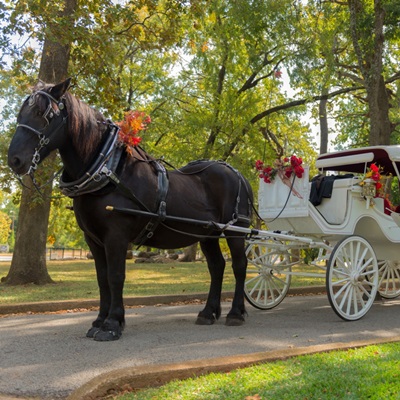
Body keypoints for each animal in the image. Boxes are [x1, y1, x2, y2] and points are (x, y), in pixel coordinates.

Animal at [7, 78, 253, 341]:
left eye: (43, 114)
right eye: (20, 113)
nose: (14, 160)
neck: (109, 171)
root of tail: (237, 173)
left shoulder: (116, 236)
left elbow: (116, 276)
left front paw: (112, 323)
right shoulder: (93, 239)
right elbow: (102, 278)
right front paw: (100, 320)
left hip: (235, 230)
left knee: (239, 266)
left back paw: (236, 313)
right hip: (207, 234)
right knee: (217, 267)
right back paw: (208, 312)